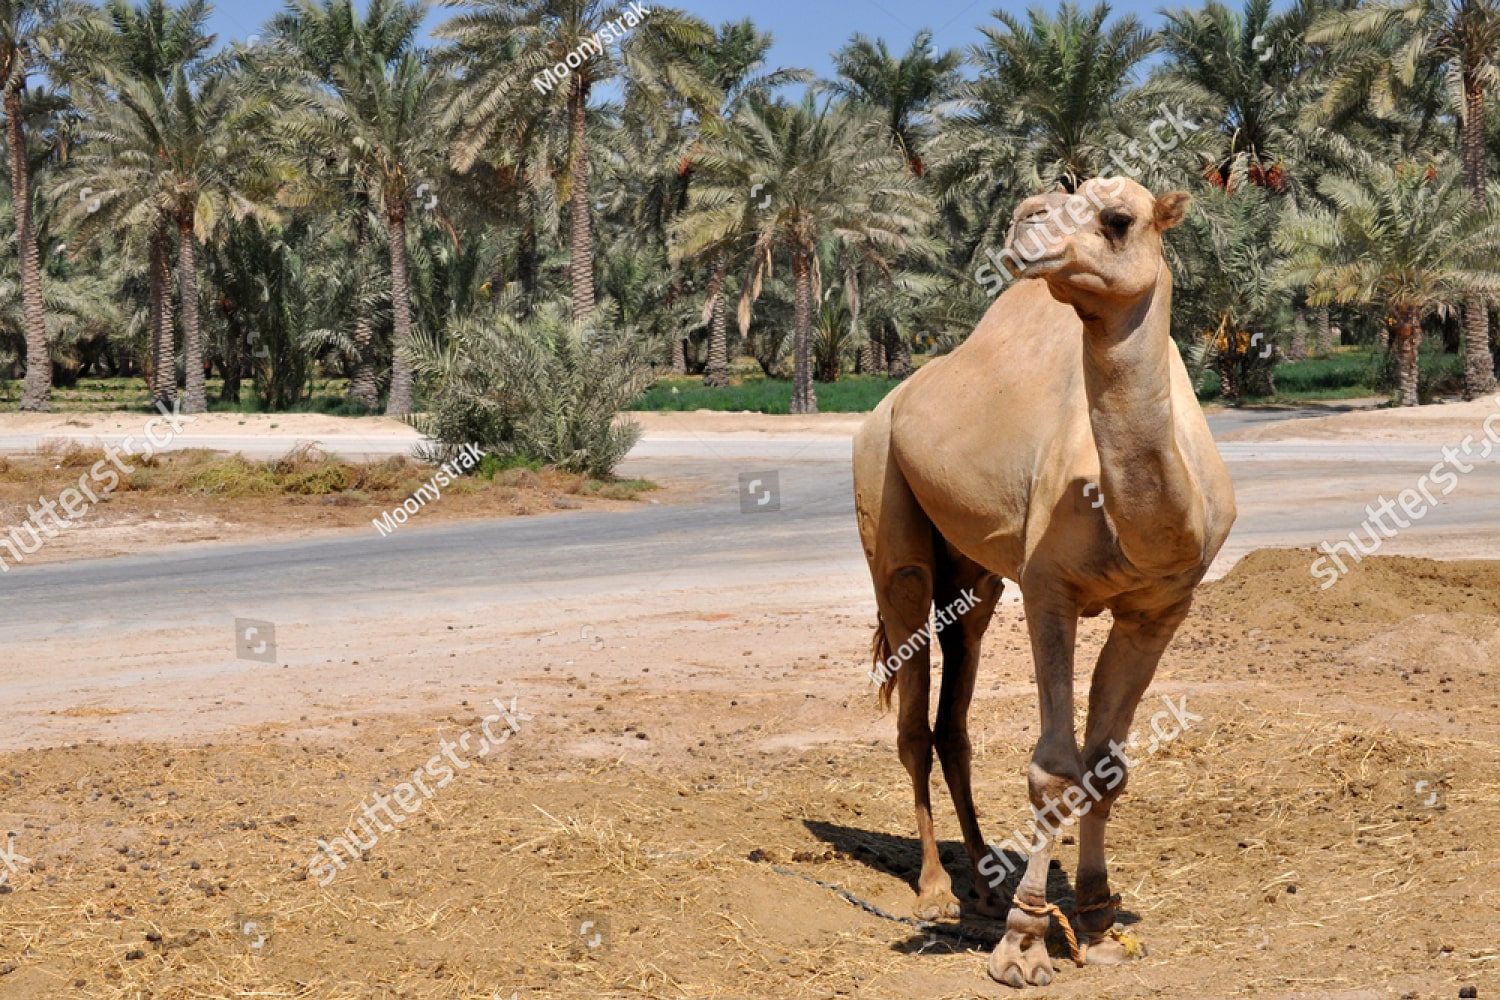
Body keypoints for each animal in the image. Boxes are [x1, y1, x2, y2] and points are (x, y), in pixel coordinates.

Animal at [852, 176, 1236, 988]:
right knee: (910, 699)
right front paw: (1024, 945)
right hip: (885, 500)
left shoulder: (1161, 606)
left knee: (954, 712)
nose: (1025, 220)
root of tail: (890, 402)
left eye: (1119, 219)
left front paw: (1094, 919)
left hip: (975, 577)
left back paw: (983, 882)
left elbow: (1106, 767)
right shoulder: (1050, 591)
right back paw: (934, 886)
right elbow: (1056, 771)